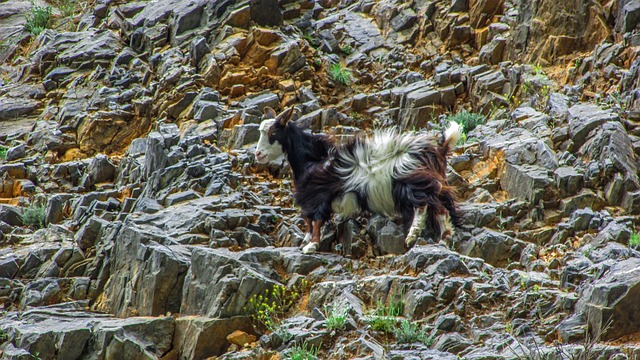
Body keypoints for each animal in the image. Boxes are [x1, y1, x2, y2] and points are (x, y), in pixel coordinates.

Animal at [256, 105, 464, 255]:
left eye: (273, 132)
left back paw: (413, 235)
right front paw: (306, 241)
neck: (312, 160)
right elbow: (309, 220)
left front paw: (311, 246)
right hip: (432, 183)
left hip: (410, 182)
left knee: (423, 205)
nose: (258, 154)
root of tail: (438, 149)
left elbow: (316, 220)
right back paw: (444, 238)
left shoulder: (318, 196)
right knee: (440, 208)